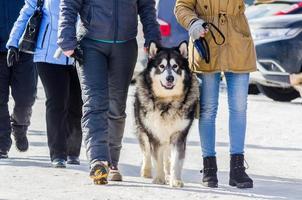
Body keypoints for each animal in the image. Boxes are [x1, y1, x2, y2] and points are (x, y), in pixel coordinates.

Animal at [134, 42, 199, 188]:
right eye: (161, 66)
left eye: (175, 66)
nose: (170, 78)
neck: (167, 103)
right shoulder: (154, 134)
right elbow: (156, 158)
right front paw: (159, 178)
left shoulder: (179, 135)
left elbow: (176, 160)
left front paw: (175, 180)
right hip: (143, 128)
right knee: (146, 151)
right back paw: (147, 170)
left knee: (168, 156)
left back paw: (168, 174)